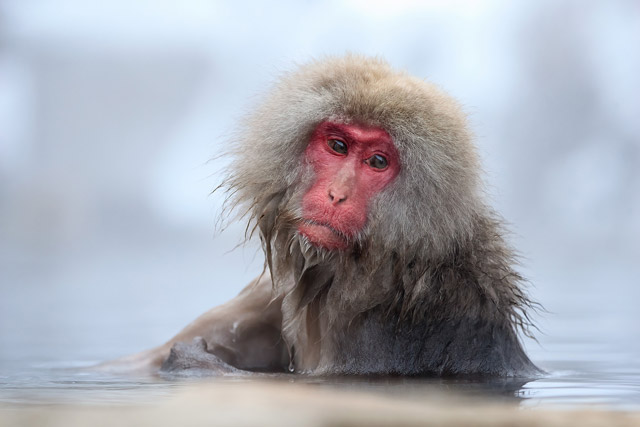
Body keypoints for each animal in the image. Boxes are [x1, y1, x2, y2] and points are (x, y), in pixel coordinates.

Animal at [103, 55, 540, 377]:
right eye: (338, 145)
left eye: (377, 161)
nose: (336, 195)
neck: (389, 267)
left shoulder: (392, 332)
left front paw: (189, 361)